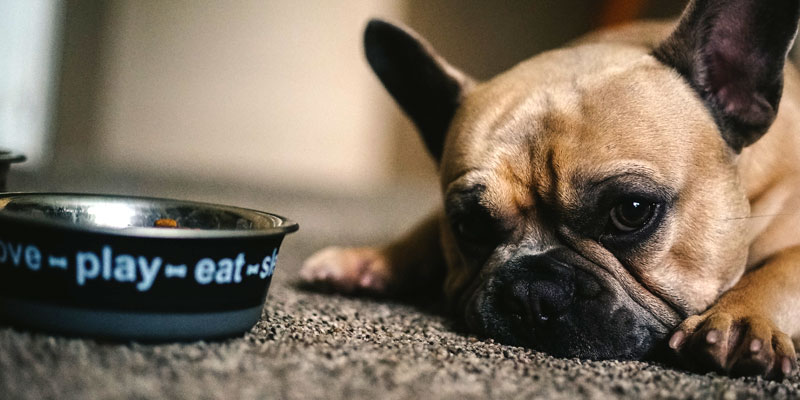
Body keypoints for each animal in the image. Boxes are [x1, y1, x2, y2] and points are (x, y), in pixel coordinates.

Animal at [300, 0, 800, 378]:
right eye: (469, 226)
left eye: (632, 210)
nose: (531, 291)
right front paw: (373, 258)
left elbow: (783, 268)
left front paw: (739, 320)